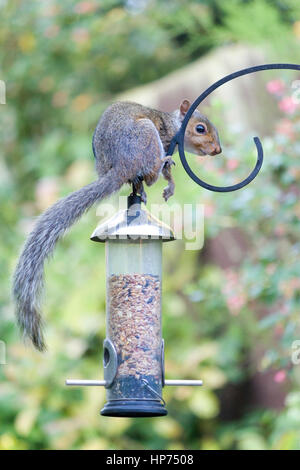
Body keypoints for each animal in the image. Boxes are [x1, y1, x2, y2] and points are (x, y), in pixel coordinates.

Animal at [12, 99, 221, 350]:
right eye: (200, 128)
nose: (217, 150)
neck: (172, 125)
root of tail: (121, 165)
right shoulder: (165, 138)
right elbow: (166, 173)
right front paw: (169, 182)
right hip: (147, 135)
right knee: (151, 173)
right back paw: (160, 164)